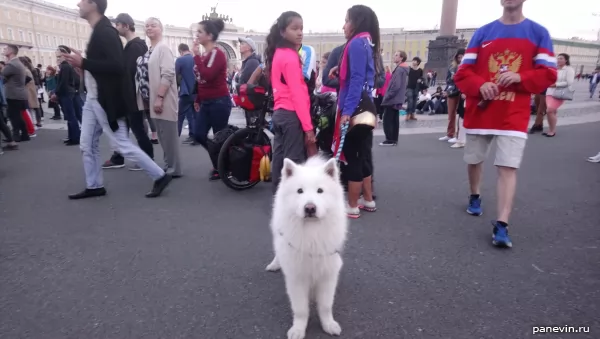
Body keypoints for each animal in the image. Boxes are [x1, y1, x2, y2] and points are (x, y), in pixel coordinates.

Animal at [266, 157, 346, 339]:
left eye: (320, 191)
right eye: (300, 191)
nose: (310, 208)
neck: (312, 233)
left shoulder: (328, 273)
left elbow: (325, 305)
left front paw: (329, 325)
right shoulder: (296, 276)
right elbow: (300, 309)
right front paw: (298, 329)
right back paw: (275, 264)